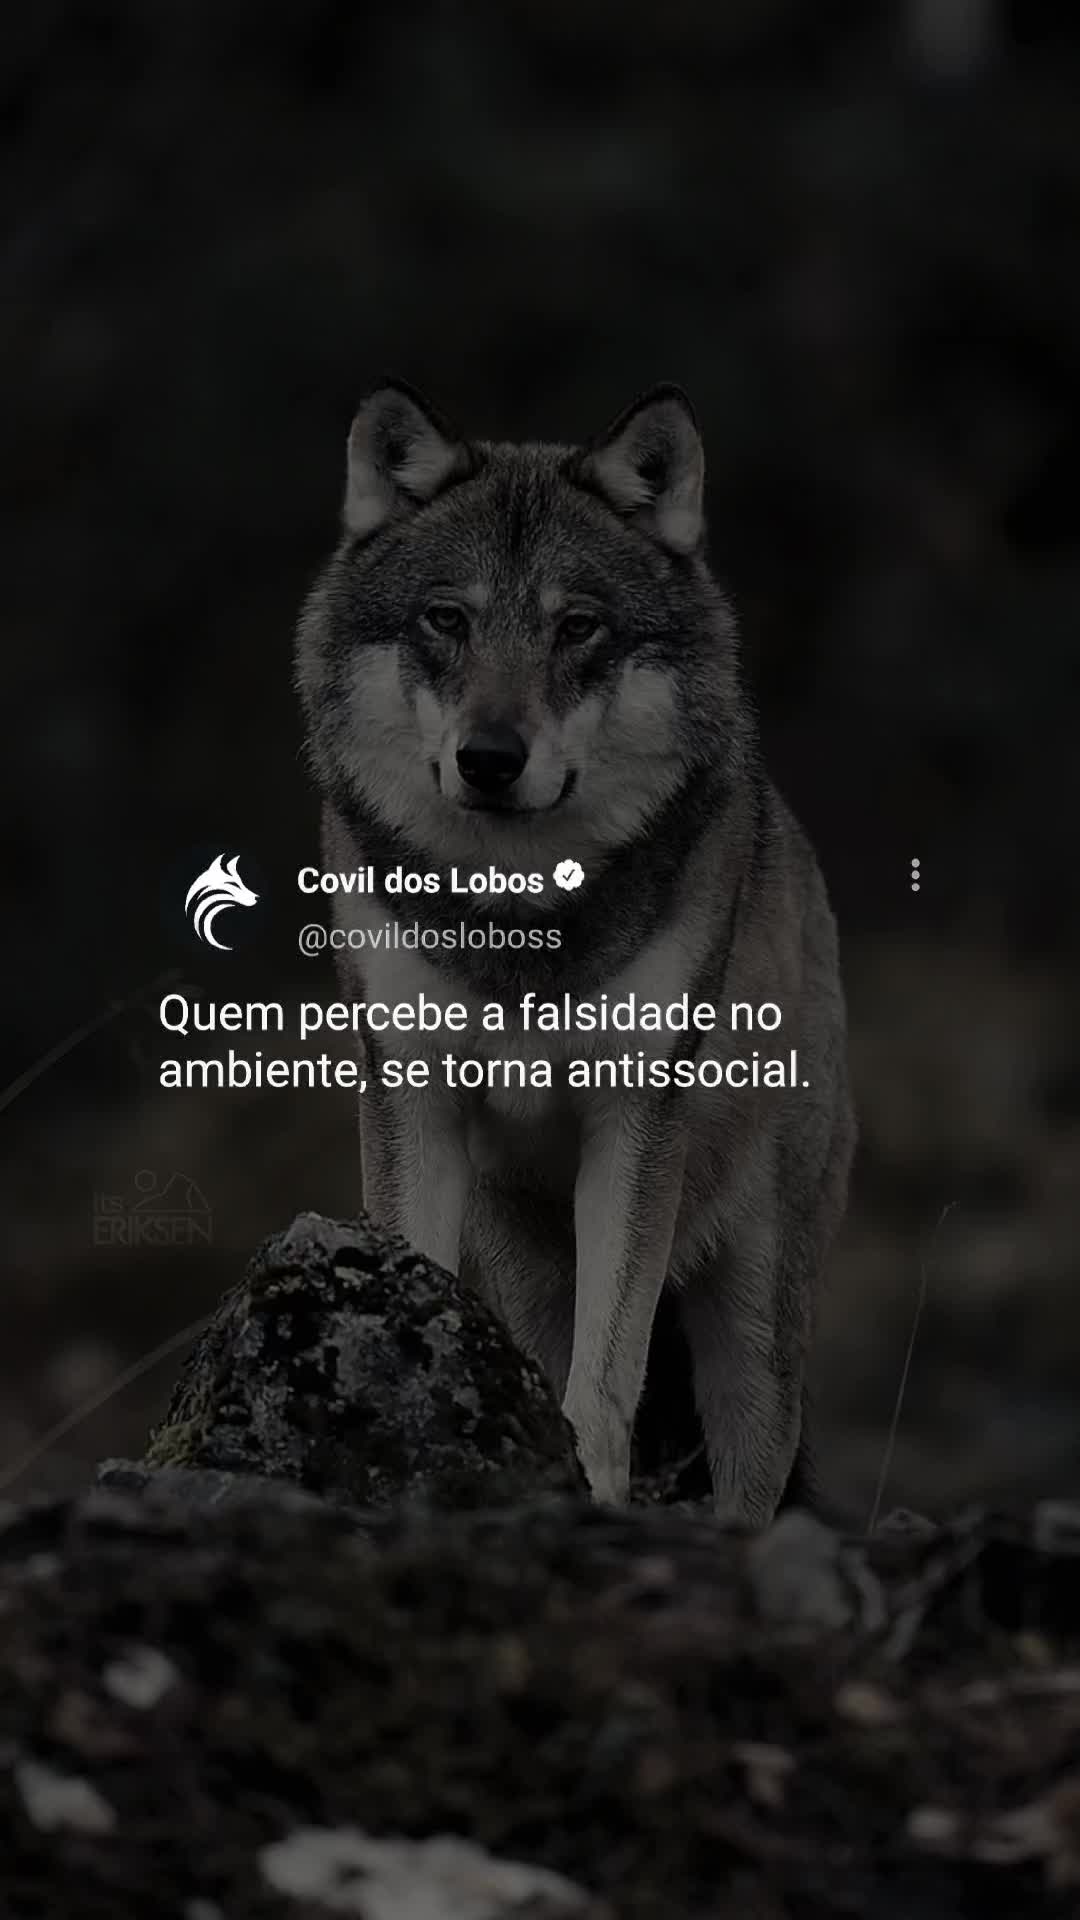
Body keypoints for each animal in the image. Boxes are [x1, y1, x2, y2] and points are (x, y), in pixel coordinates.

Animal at [295, 379, 855, 1525]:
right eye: (447, 619)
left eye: (578, 627)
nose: (489, 759)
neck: (520, 912)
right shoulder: (410, 1094)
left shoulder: (635, 1121)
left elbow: (608, 1375)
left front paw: (591, 1490)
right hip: (523, 1266)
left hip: (753, 1321)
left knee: (751, 1466)